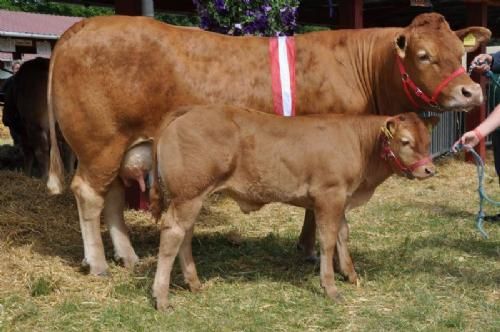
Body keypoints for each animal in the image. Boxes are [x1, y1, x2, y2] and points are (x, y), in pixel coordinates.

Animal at [48, 13, 490, 274]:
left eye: (460, 52)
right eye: (423, 55)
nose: (471, 93)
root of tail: (83, 27)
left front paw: (308, 248)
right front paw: (313, 251)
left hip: (119, 147)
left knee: (111, 197)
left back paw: (127, 256)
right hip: (100, 143)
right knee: (88, 193)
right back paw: (98, 263)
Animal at [150, 105, 440, 310]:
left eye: (428, 140)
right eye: (405, 141)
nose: (429, 170)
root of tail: (191, 110)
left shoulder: (341, 199)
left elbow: (343, 234)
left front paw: (351, 274)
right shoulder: (329, 194)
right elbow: (328, 240)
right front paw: (330, 288)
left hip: (192, 197)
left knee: (185, 235)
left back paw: (194, 284)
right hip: (189, 194)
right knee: (173, 233)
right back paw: (161, 298)